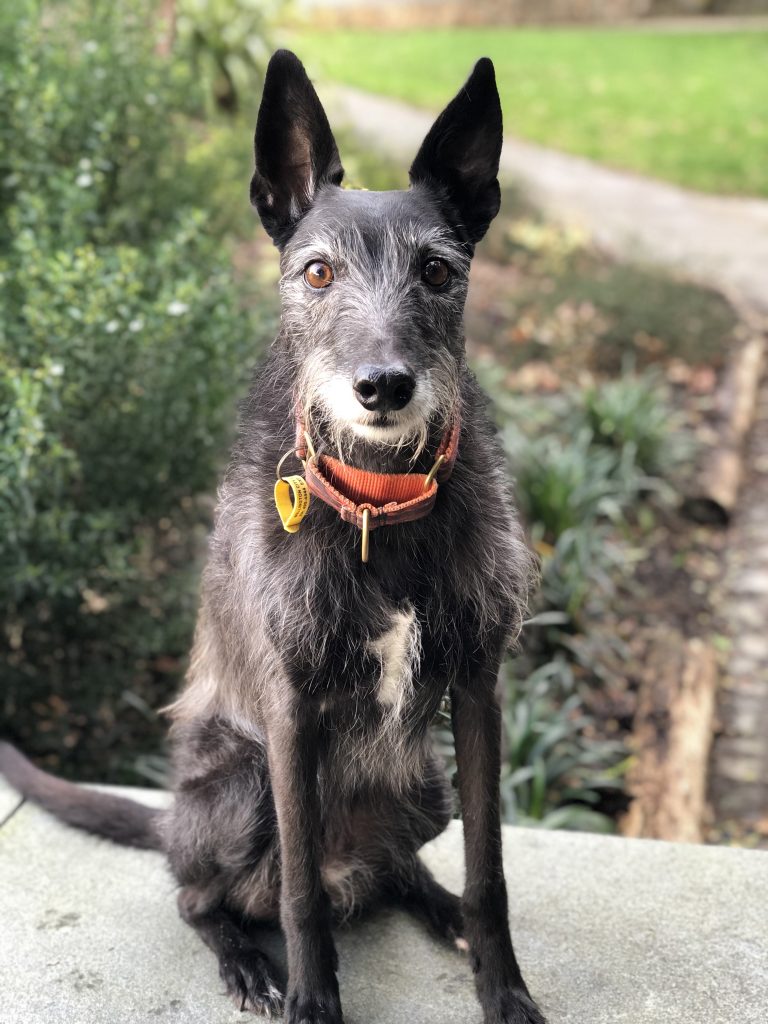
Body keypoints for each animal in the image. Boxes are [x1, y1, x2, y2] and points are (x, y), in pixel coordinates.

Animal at [0, 51, 544, 1024]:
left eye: (438, 272)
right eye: (319, 272)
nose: (383, 386)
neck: (375, 505)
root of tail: (172, 815)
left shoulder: (480, 687)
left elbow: (491, 875)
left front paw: (503, 989)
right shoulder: (292, 712)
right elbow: (296, 893)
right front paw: (311, 999)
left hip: (425, 784)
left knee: (394, 870)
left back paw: (431, 904)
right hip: (243, 783)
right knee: (206, 895)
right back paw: (247, 960)